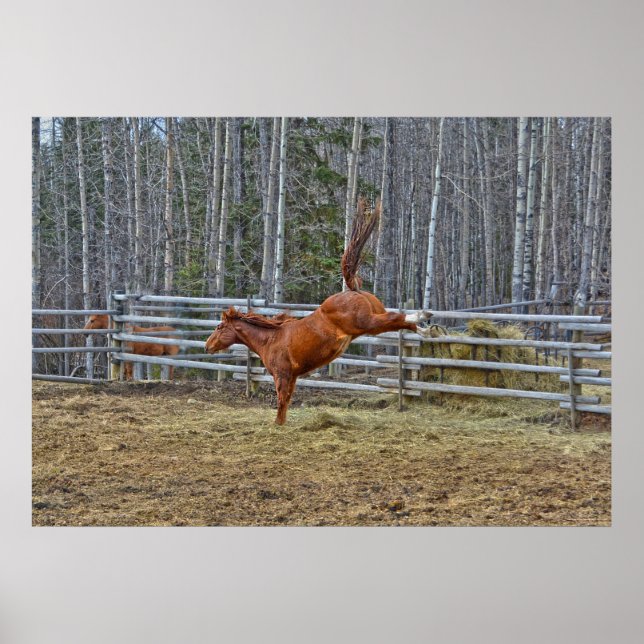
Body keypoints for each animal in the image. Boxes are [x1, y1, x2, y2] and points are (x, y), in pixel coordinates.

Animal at [205, 198, 432, 424]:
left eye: (219, 327)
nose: (207, 346)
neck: (270, 339)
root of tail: (352, 289)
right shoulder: (293, 377)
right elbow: (285, 405)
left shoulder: (282, 375)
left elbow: (281, 403)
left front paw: (277, 425)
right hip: (371, 324)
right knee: (400, 322)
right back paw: (429, 329)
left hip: (366, 322)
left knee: (397, 317)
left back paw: (424, 316)